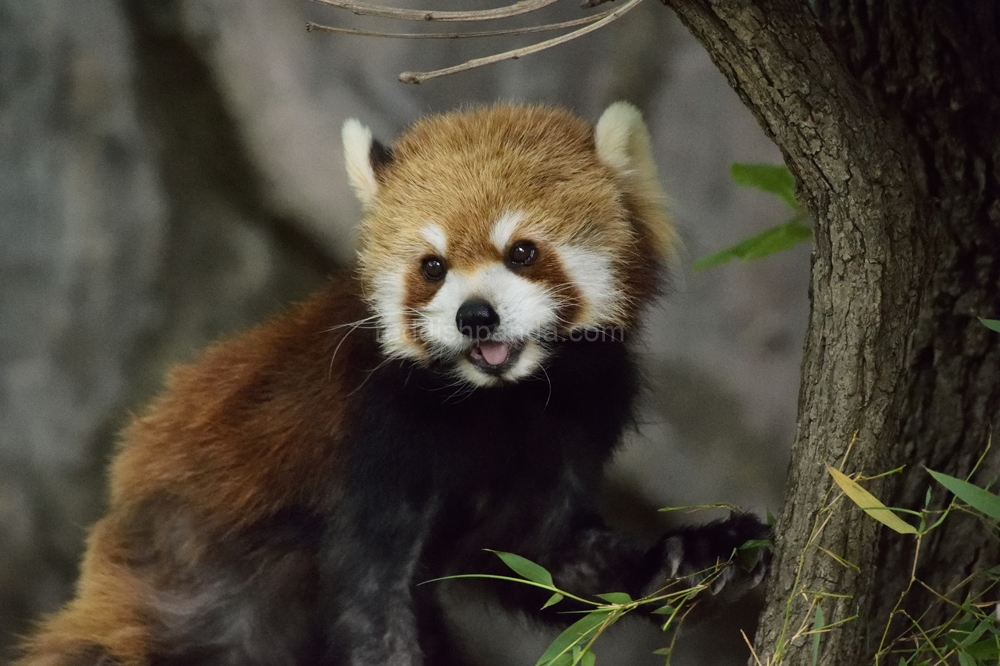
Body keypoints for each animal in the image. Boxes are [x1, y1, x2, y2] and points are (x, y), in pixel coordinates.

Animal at [13, 102, 764, 664]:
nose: (474, 316)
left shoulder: (577, 415)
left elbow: (547, 560)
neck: (499, 402)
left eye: (522, 251)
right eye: (432, 266)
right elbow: (370, 594)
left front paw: (694, 558)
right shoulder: (378, 434)